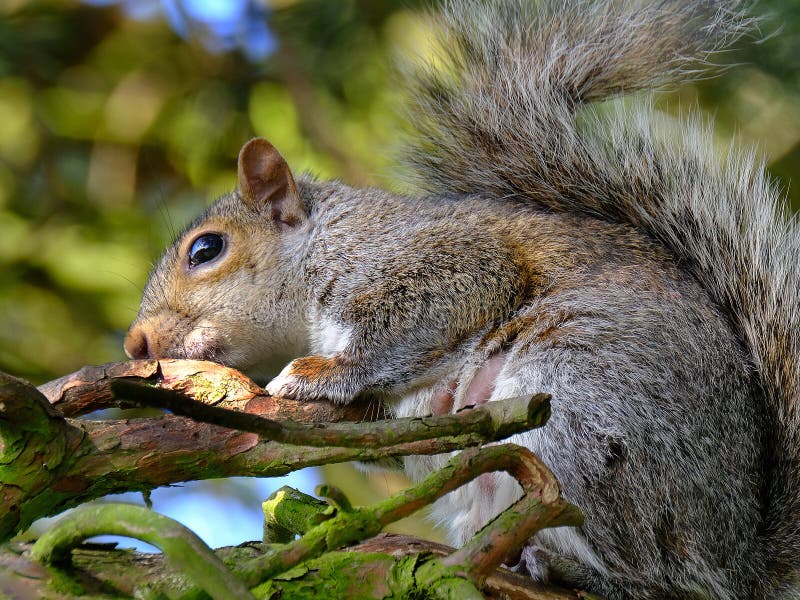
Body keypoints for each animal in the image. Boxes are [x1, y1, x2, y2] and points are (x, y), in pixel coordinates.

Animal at [123, 1, 800, 600]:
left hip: (586, 408)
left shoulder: (448, 264)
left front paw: (321, 373)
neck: (325, 245)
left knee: (657, 578)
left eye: (206, 249)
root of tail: (735, 555)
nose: (135, 344)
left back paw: (574, 569)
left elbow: (412, 322)